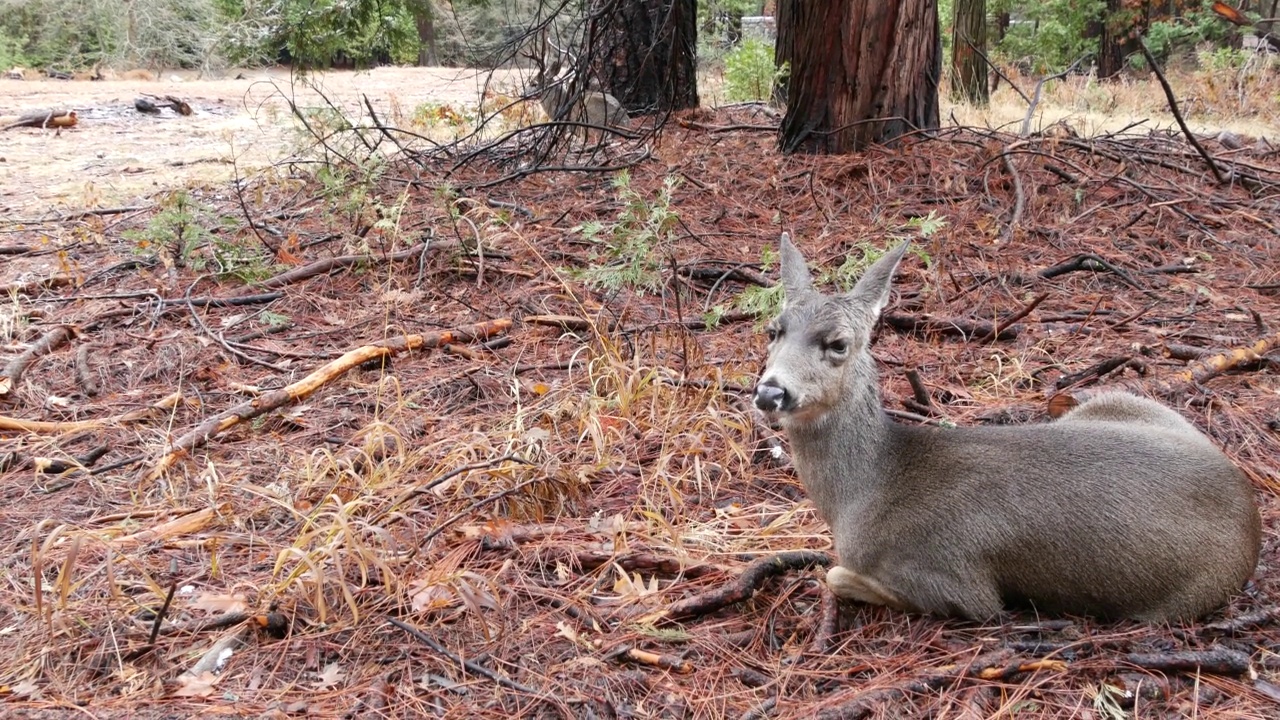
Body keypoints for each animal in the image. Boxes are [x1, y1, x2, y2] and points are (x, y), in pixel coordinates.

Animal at [752, 233, 1264, 620]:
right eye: (774, 330)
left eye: (838, 343)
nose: (770, 392)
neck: (868, 487)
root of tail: (1251, 510)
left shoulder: (955, 582)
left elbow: (835, 574)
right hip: (1116, 401)